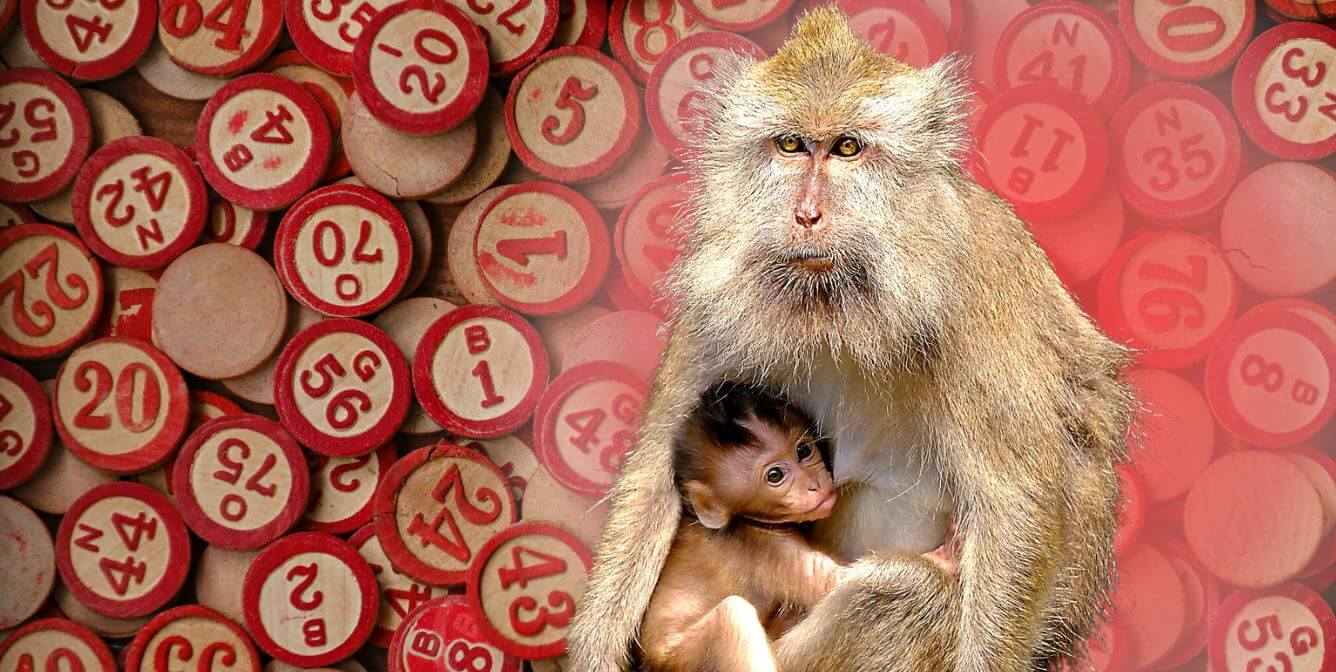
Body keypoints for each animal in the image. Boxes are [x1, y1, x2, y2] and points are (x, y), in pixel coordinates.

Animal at [639, 383, 843, 672]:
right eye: (775, 476)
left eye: (803, 451)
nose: (814, 484)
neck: (748, 520)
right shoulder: (765, 547)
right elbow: (835, 582)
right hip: (683, 658)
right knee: (734, 617)